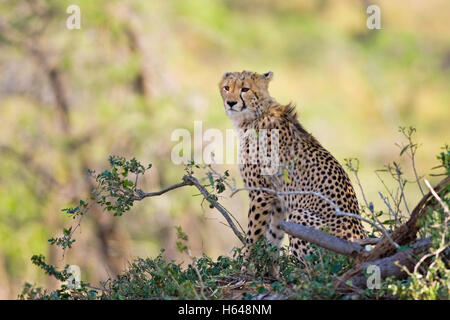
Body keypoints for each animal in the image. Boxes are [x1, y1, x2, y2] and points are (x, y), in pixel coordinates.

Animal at [220, 71, 368, 264]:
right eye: (226, 87)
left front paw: (245, 265)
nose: (230, 102)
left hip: (300, 216)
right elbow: (273, 239)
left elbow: (253, 236)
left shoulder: (261, 193)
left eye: (245, 89)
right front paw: (269, 267)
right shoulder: (278, 200)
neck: (256, 114)